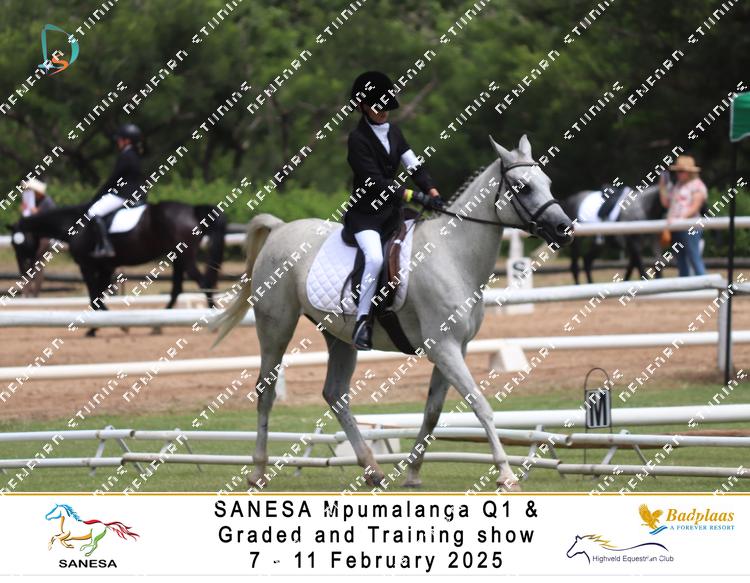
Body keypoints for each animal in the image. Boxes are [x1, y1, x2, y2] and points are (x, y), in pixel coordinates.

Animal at [11, 202, 226, 335]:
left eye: (18, 243)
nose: (23, 270)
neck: (74, 224)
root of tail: (192, 210)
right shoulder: (106, 267)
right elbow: (98, 297)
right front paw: (100, 327)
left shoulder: (86, 266)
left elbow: (94, 297)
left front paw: (109, 326)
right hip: (178, 257)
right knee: (177, 289)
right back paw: (157, 325)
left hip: (185, 256)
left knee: (202, 282)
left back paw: (212, 321)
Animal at [212, 135, 573, 492]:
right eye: (523, 187)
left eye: (547, 183)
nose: (564, 229)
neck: (453, 256)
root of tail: (280, 228)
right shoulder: (444, 348)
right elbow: (480, 405)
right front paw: (505, 474)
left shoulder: (454, 348)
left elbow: (433, 411)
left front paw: (412, 472)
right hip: (277, 328)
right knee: (267, 391)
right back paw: (258, 471)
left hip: (339, 337)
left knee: (335, 394)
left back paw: (372, 469)